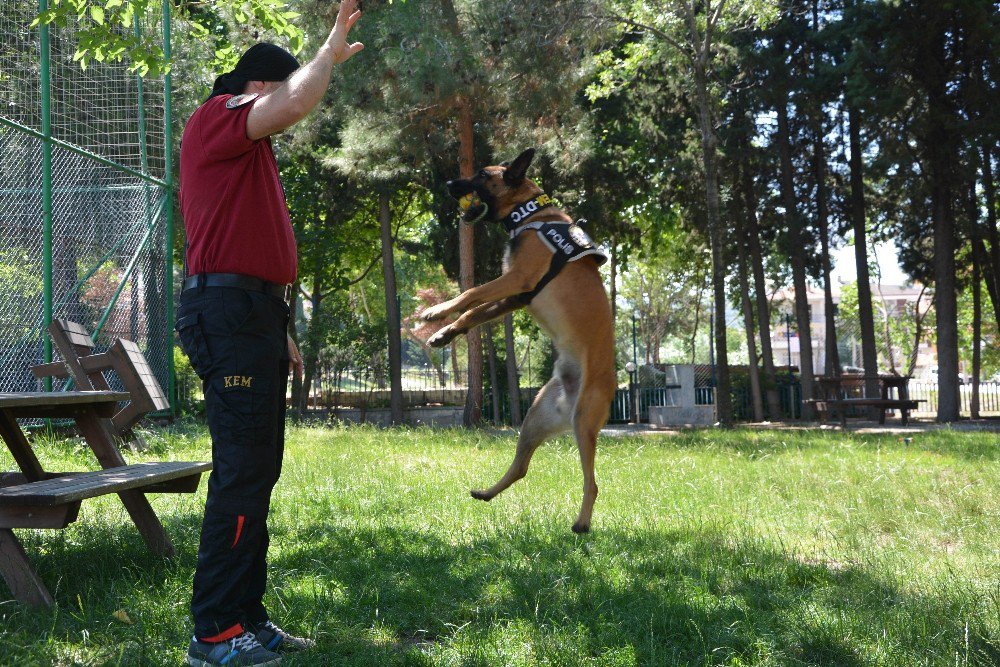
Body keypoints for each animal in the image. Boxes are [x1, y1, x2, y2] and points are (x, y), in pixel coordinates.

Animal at [418, 147, 612, 532]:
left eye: (481, 174)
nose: (448, 182)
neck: (530, 214)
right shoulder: (517, 296)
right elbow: (474, 311)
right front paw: (445, 333)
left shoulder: (517, 280)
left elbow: (470, 294)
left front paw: (437, 313)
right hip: (535, 420)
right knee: (521, 467)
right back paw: (486, 493)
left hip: (584, 423)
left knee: (592, 483)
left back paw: (582, 524)